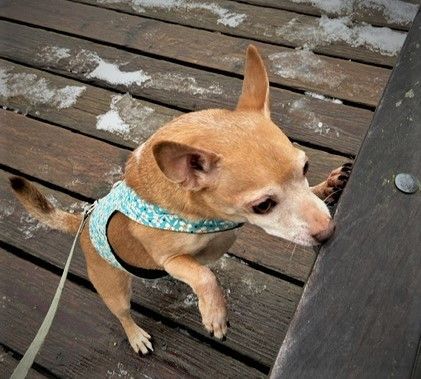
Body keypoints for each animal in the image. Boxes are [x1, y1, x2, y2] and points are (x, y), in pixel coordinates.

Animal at [10, 46, 352, 354]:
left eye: (305, 167)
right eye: (263, 206)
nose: (327, 231)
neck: (208, 217)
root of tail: (83, 222)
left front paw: (328, 185)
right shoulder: (171, 259)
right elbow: (205, 276)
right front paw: (215, 315)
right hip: (114, 288)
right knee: (123, 314)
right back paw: (136, 336)